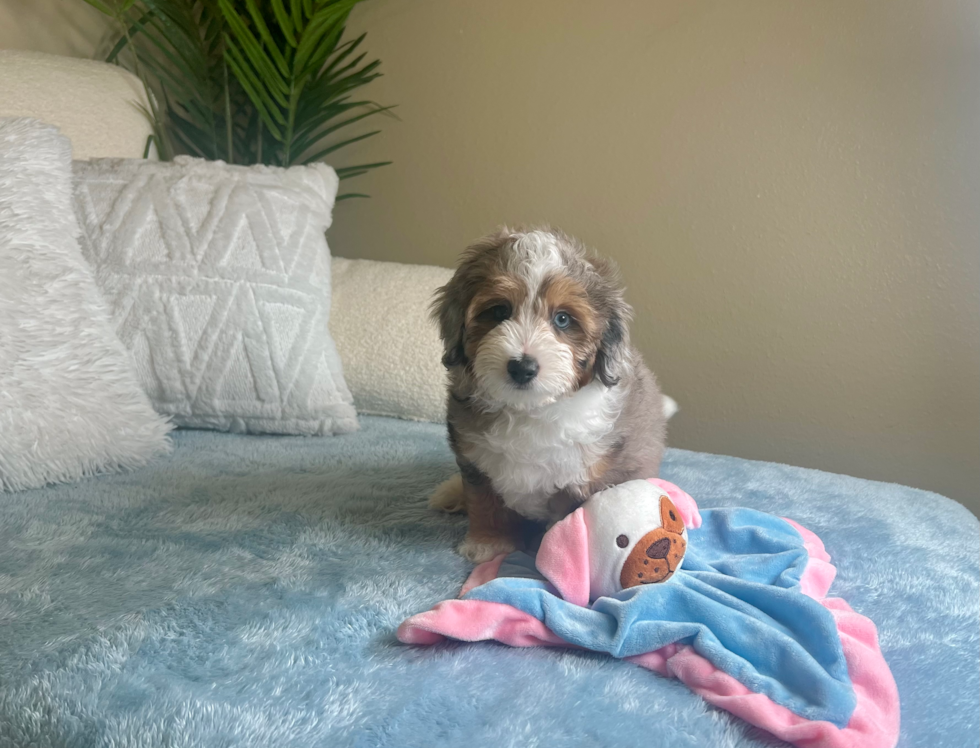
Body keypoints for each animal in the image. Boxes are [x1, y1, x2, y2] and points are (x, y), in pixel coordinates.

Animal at [428, 228, 668, 560]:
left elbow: (570, 521)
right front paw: (488, 544)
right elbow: (485, 502)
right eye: (499, 311)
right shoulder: (476, 461)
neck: (530, 409)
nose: (522, 367)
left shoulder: (588, 476)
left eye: (563, 319)